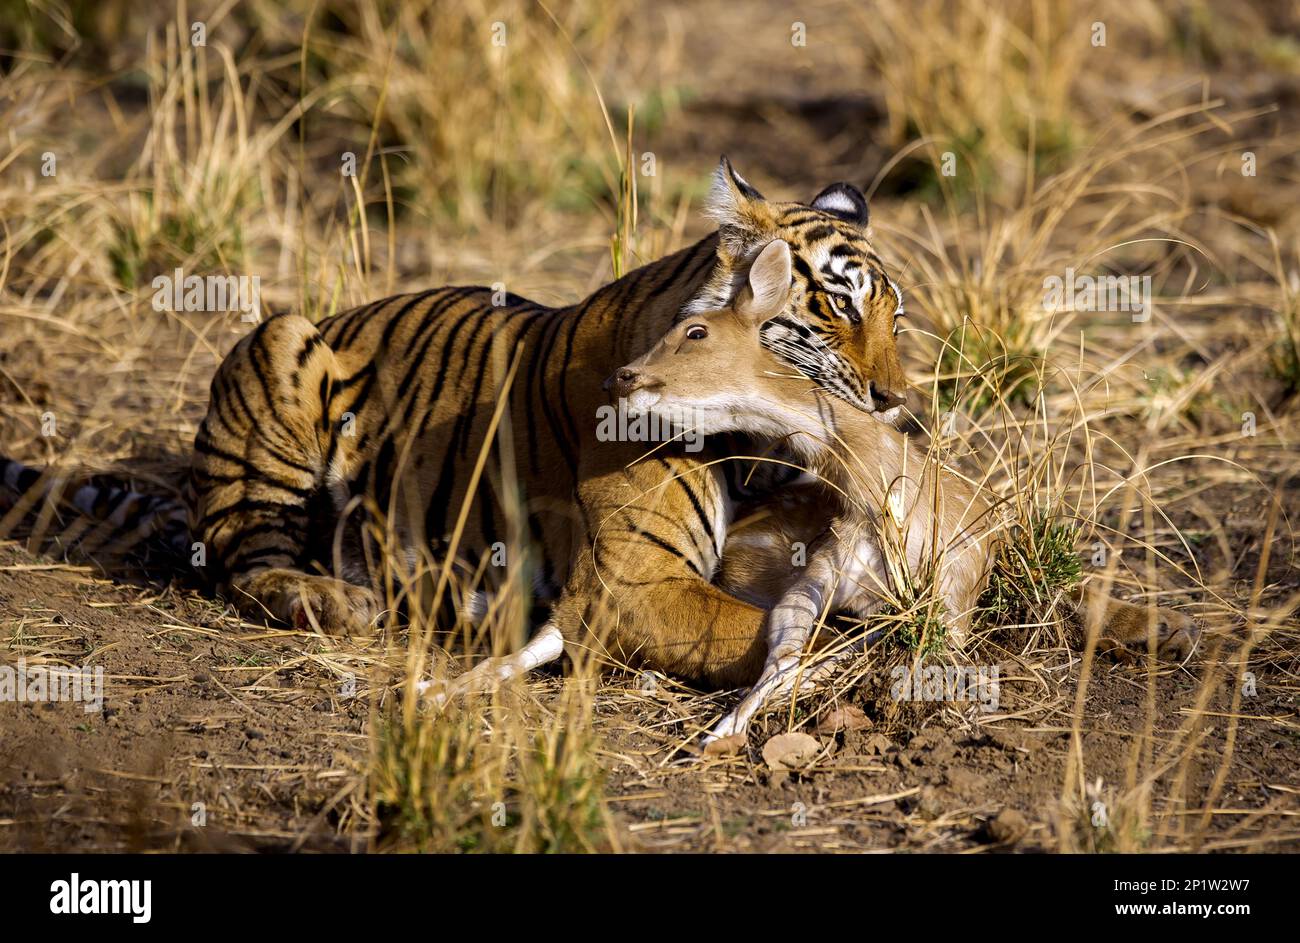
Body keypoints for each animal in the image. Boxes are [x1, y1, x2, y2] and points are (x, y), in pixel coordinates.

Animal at [2, 158, 915, 686]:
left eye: (895, 319)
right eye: (836, 308)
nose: (895, 401)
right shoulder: (634, 586)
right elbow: (798, 634)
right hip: (280, 341)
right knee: (244, 562)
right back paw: (335, 600)